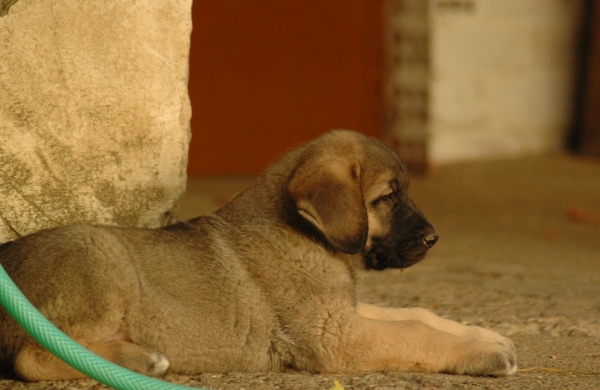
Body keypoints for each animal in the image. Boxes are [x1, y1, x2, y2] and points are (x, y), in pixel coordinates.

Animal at [0, 131, 516, 380]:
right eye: (388, 197)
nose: (433, 239)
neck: (308, 237)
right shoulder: (336, 336)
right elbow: (413, 332)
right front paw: (481, 353)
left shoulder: (341, 312)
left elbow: (417, 314)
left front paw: (482, 334)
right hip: (99, 260)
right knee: (32, 358)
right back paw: (139, 362)